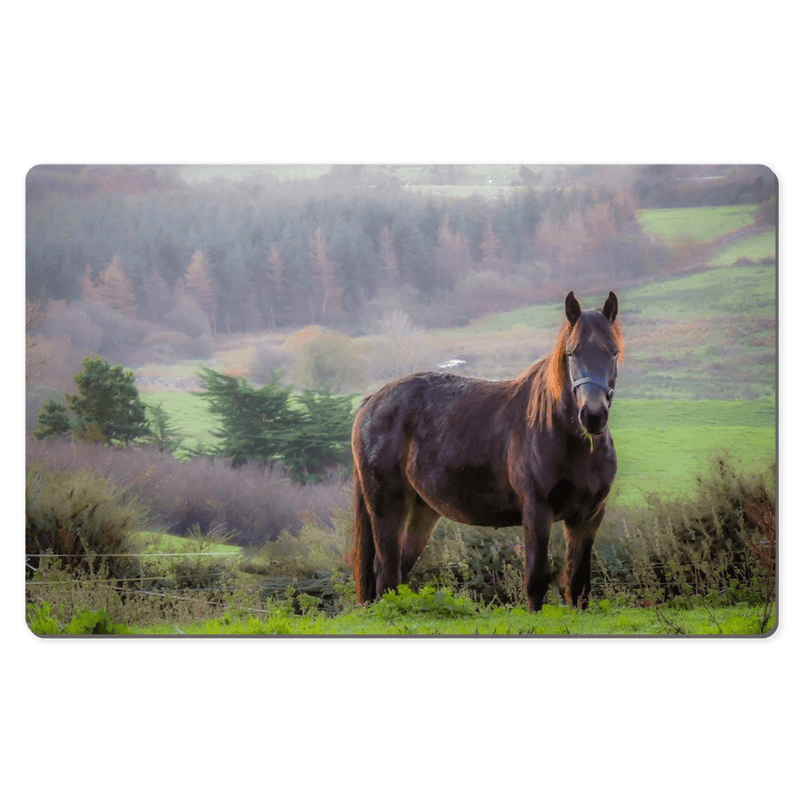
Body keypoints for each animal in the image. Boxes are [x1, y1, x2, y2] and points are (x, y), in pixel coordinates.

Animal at [352, 290, 624, 608]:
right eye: (572, 353)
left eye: (613, 352)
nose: (593, 416)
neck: (568, 442)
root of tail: (371, 402)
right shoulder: (537, 514)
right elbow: (536, 583)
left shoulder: (587, 518)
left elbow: (578, 588)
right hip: (387, 506)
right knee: (387, 575)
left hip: (423, 510)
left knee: (399, 573)